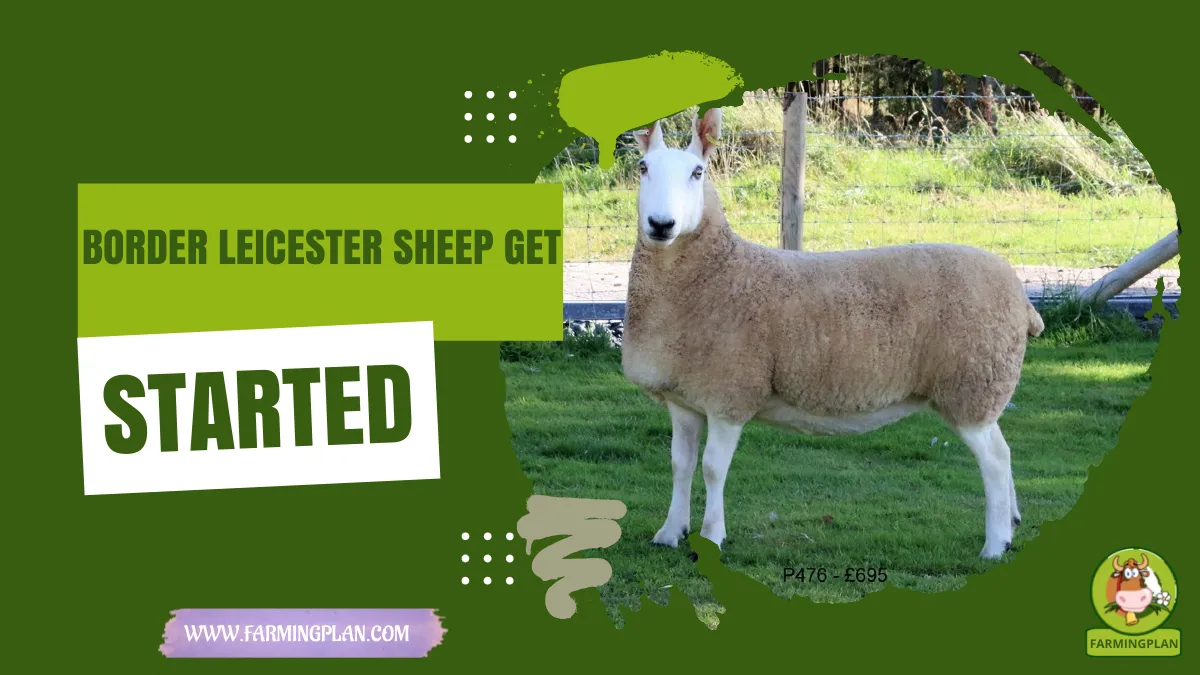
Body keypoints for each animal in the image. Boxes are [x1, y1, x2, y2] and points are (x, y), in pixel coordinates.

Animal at [622, 107, 1045, 560]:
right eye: (642, 167)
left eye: (697, 172)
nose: (661, 224)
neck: (716, 272)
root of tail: (1021, 296)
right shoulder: (684, 398)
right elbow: (680, 465)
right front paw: (670, 532)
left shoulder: (729, 394)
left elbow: (713, 469)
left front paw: (712, 536)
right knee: (1004, 453)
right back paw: (1012, 521)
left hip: (972, 383)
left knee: (996, 460)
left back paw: (995, 544)